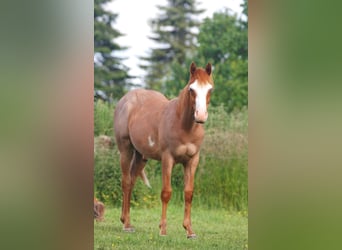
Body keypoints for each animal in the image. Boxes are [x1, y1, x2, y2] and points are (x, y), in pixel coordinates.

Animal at [113, 61, 212, 237]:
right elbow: (166, 193)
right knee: (125, 182)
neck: (183, 125)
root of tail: (125, 99)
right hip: (125, 150)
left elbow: (188, 193)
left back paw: (126, 221)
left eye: (210, 89)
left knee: (131, 182)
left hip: (141, 156)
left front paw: (189, 230)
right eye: (191, 89)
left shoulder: (192, 161)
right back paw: (126, 225)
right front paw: (163, 229)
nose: (200, 116)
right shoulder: (168, 159)